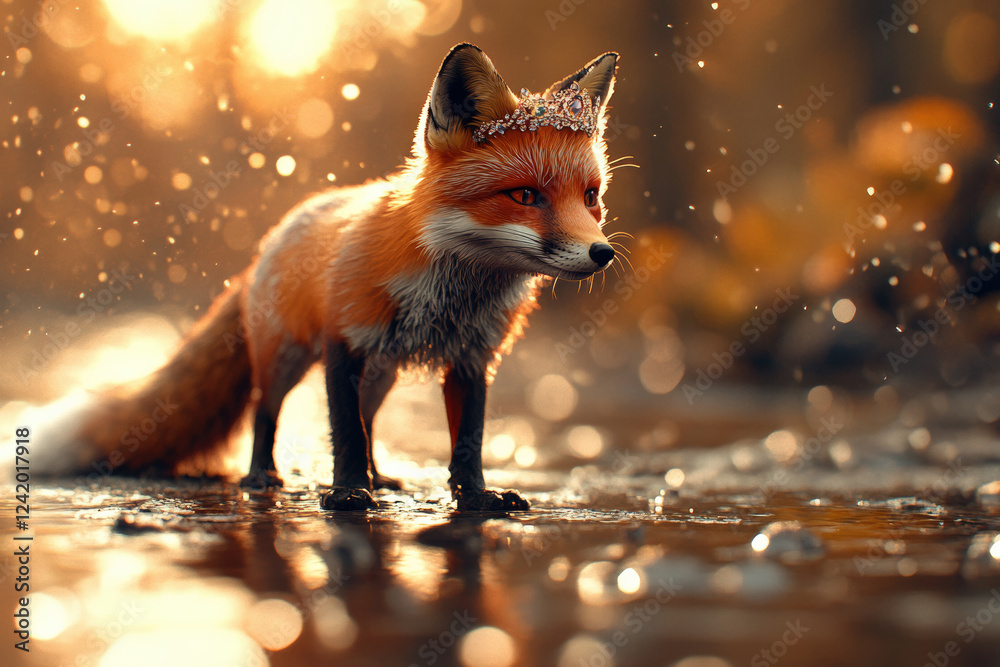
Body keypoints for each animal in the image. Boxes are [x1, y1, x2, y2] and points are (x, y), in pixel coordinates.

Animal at [30, 43, 620, 512]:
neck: (451, 295)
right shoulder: (344, 343)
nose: (603, 254)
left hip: (382, 373)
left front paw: (474, 497)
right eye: (524, 195)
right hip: (285, 360)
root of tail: (272, 240)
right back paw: (262, 476)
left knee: (370, 420)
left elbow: (465, 441)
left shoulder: (472, 356)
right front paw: (348, 494)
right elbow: (344, 433)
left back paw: (381, 477)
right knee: (265, 414)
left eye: (590, 197)